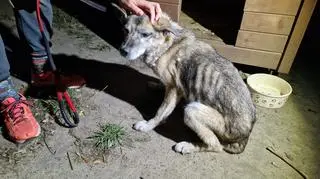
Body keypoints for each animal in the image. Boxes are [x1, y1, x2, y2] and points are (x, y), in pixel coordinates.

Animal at [119, 13, 256, 155]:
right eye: (126, 30)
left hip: (191, 110)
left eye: (145, 34)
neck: (167, 45)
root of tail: (244, 138)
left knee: (216, 146)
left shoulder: (173, 89)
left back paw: (187, 146)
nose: (122, 51)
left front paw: (147, 125)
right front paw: (157, 85)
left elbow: (160, 112)